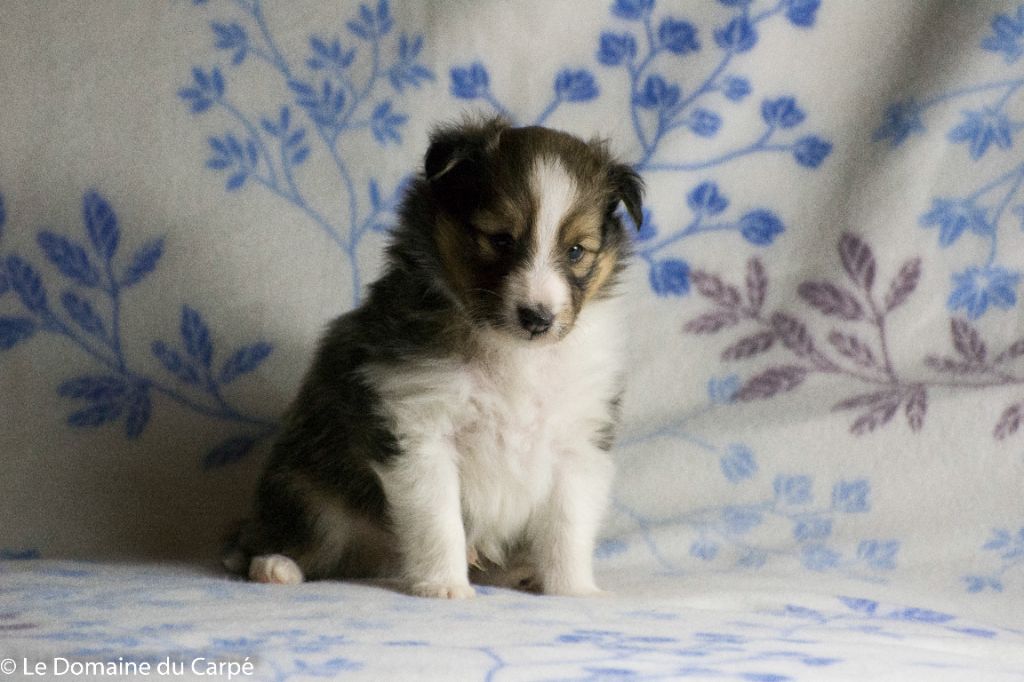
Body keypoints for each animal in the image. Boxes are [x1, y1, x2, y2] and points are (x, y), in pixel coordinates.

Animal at [224, 115, 638, 593]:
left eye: (575, 251)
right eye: (500, 239)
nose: (538, 318)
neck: (511, 352)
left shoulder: (578, 441)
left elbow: (567, 528)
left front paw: (574, 590)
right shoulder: (419, 429)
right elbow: (438, 521)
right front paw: (445, 587)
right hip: (307, 489)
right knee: (289, 538)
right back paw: (275, 566)